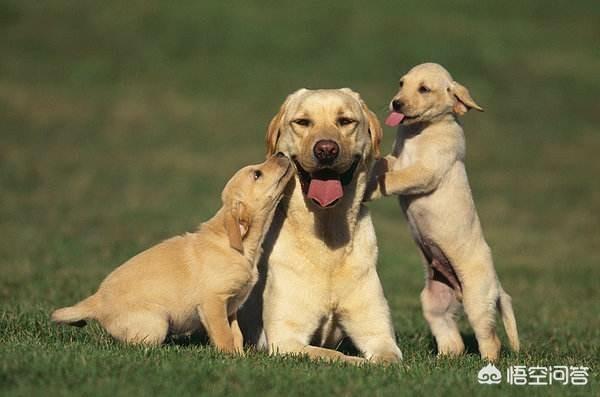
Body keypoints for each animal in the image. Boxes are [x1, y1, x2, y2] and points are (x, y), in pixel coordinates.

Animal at [52, 153, 292, 352]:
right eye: (257, 174)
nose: (281, 153)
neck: (237, 245)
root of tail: (96, 301)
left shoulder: (231, 307)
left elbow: (236, 335)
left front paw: (241, 356)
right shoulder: (213, 302)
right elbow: (224, 335)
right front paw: (231, 357)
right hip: (156, 324)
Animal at [244, 88, 404, 364]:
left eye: (345, 121)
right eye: (302, 122)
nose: (326, 150)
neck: (328, 238)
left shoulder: (379, 336)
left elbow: (387, 358)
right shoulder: (286, 341)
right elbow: (336, 355)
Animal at [366, 62, 520, 362]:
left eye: (424, 89)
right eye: (401, 83)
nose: (396, 103)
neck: (420, 131)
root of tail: (496, 283)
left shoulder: (424, 170)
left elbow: (394, 179)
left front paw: (369, 186)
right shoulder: (397, 159)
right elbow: (385, 164)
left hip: (477, 300)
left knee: (491, 339)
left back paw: (487, 363)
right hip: (434, 302)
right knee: (453, 341)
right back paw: (441, 359)